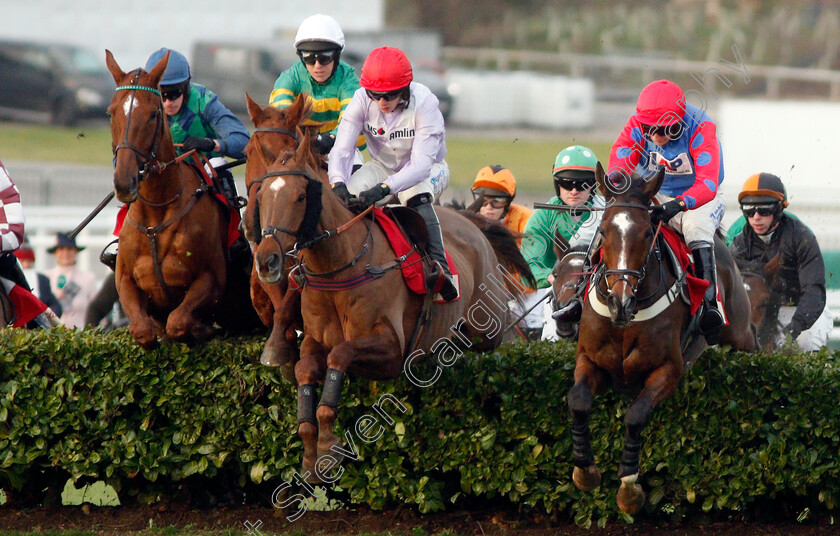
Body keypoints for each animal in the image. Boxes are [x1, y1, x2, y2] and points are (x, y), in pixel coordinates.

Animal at [106, 51, 260, 348]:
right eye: (111, 112)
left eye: (153, 113)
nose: (124, 181)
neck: (157, 215)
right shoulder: (125, 280)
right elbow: (143, 329)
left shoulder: (211, 279)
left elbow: (178, 322)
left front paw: (199, 329)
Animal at [253, 134, 536, 482]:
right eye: (261, 196)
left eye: (301, 196)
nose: (267, 260)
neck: (340, 266)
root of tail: (471, 224)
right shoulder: (313, 340)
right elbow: (305, 371)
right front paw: (310, 455)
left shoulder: (391, 349)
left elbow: (340, 354)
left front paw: (329, 445)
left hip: (487, 324)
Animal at [568, 164, 756, 516]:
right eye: (604, 230)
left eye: (646, 233)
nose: (620, 301)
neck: (627, 318)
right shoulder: (589, 358)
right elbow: (578, 402)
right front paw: (585, 471)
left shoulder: (668, 368)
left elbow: (636, 415)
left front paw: (629, 489)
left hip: (738, 333)